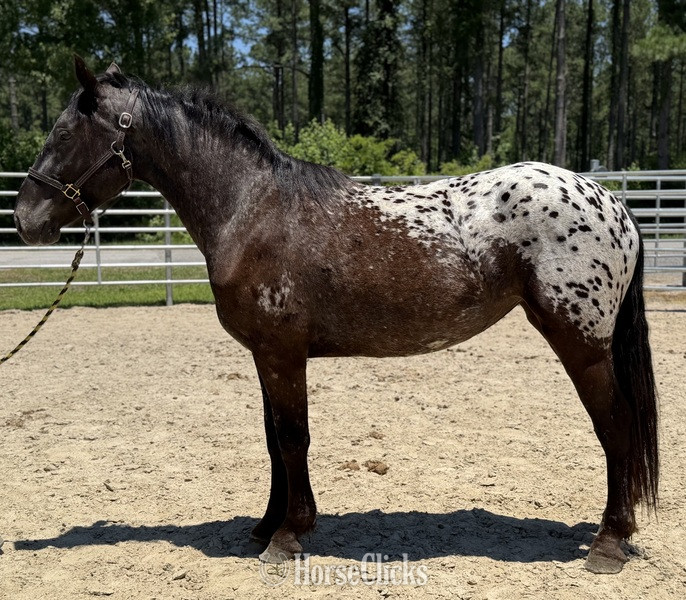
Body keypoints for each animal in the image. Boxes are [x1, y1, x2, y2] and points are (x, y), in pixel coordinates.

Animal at [13, 57, 658, 575]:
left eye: (65, 130)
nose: (25, 220)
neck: (252, 209)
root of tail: (614, 202)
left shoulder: (282, 353)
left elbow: (292, 437)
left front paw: (289, 537)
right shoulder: (266, 355)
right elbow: (273, 439)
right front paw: (266, 526)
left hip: (580, 342)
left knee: (616, 427)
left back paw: (608, 544)